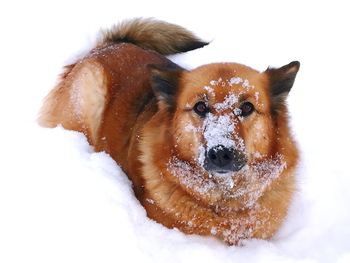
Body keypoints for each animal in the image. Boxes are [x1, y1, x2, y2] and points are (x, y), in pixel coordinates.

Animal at [39, 18, 300, 245]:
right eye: (200, 107)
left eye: (247, 107)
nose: (221, 153)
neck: (224, 202)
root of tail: (108, 45)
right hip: (89, 93)